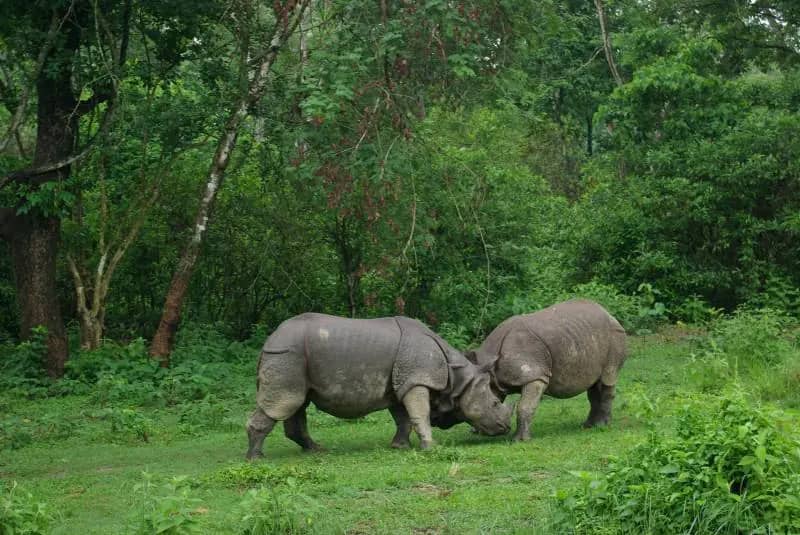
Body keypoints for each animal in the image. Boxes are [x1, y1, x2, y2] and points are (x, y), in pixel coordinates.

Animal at [245, 313, 512, 459]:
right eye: (494, 402)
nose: (506, 427)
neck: (459, 379)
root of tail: (268, 341)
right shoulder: (416, 379)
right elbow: (420, 413)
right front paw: (431, 446)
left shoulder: (401, 383)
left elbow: (404, 418)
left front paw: (399, 446)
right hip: (286, 354)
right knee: (285, 402)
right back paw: (255, 458)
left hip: (291, 355)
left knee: (296, 403)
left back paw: (316, 450)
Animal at [435, 299, 627, 441]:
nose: (440, 421)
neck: (491, 365)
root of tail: (609, 313)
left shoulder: (535, 375)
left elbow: (525, 406)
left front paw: (519, 440)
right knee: (594, 385)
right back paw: (588, 426)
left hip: (615, 334)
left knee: (608, 377)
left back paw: (602, 425)